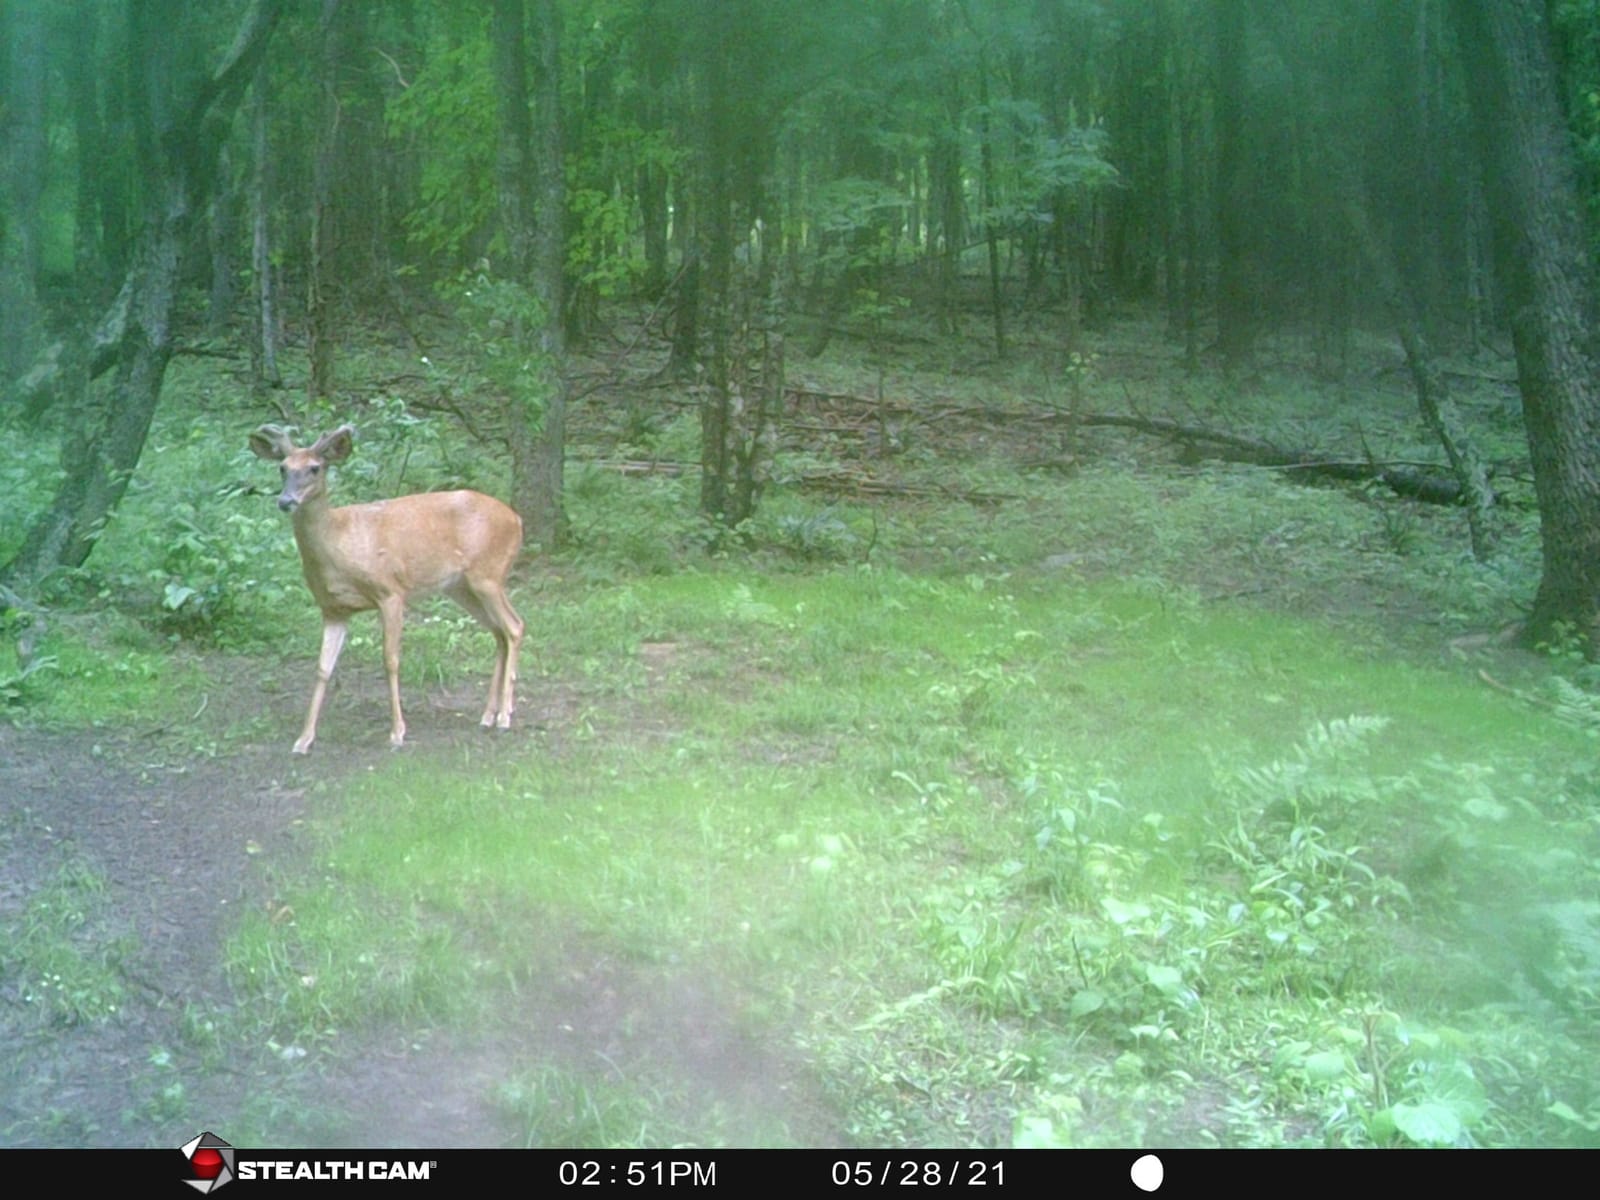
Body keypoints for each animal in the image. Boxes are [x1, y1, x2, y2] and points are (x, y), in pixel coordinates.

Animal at [249, 424, 525, 754]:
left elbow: (391, 660)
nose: (286, 501)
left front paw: (397, 733)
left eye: (315, 468)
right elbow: (323, 668)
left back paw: (505, 717)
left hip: (488, 575)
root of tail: (517, 519)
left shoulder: (391, 591)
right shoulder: (333, 608)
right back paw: (488, 715)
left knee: (515, 626)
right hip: (461, 587)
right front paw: (303, 740)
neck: (339, 541)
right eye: (282, 467)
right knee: (498, 632)